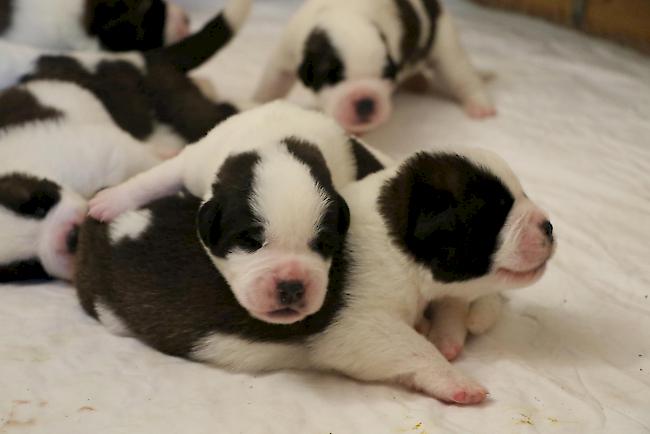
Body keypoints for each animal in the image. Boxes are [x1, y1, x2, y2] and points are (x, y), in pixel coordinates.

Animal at [252, 0, 492, 134]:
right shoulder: (287, 52)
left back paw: (479, 105)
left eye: (387, 76)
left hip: (445, 44)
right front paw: (259, 103)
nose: (366, 103)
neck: (344, 14)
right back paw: (418, 82)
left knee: (462, 75)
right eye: (332, 76)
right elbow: (273, 82)